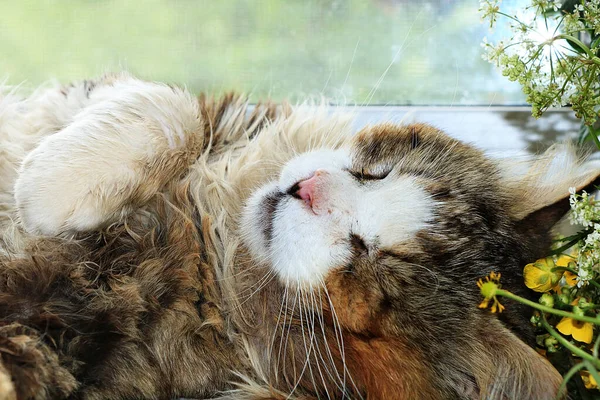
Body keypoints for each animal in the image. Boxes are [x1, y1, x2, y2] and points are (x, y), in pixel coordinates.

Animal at [0, 73, 592, 398]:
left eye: (360, 259)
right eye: (377, 174)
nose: (307, 191)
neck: (214, 238)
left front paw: (38, 197)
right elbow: (175, 110)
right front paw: (52, 185)